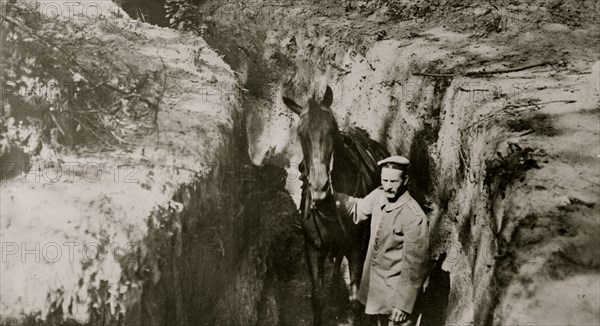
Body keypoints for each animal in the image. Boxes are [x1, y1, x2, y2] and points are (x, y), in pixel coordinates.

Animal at [284, 85, 392, 324]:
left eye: (331, 130)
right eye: (301, 134)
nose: (319, 187)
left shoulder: (357, 249)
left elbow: (354, 299)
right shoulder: (313, 248)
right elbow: (317, 298)